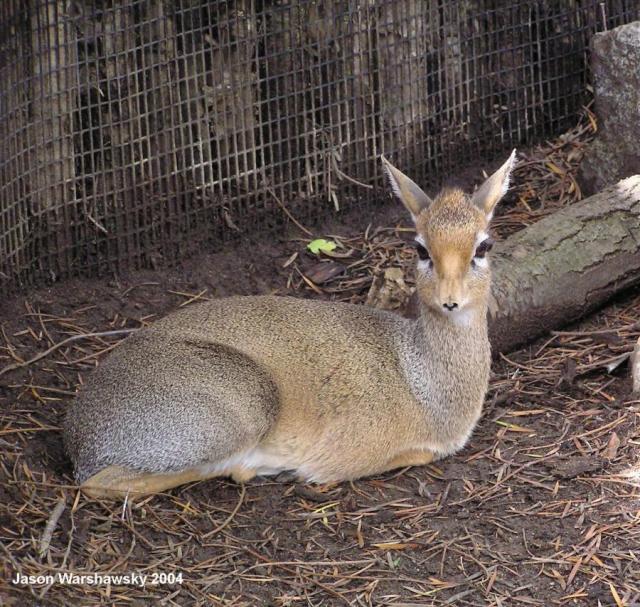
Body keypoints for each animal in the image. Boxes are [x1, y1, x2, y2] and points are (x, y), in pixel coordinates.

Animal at [63, 152, 516, 498]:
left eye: (484, 246)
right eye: (421, 249)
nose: (449, 300)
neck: (421, 380)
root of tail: (80, 433)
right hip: (238, 403)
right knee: (100, 483)